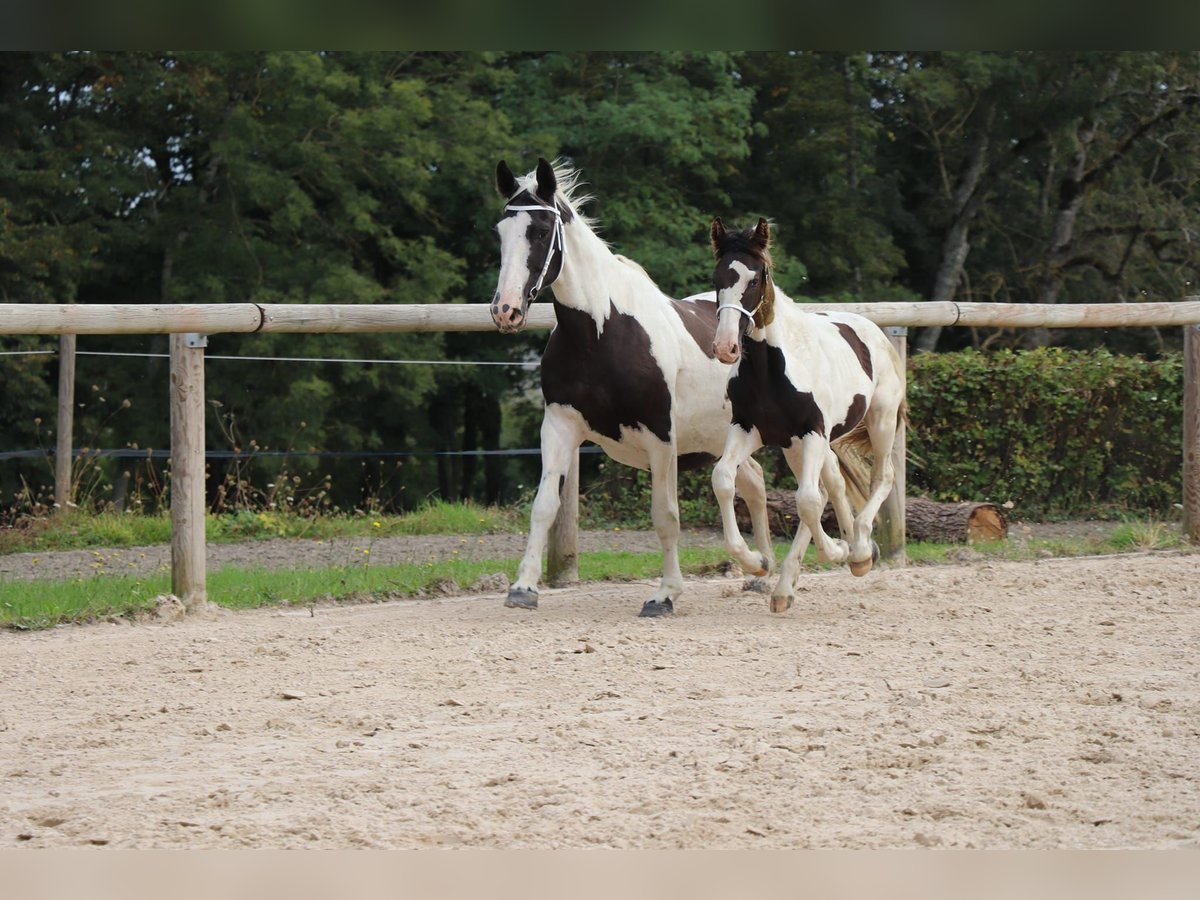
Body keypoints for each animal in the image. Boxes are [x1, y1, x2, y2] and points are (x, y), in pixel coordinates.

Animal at [492, 157, 772, 619]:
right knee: (752, 481)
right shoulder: (559, 426)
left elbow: (666, 515)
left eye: (541, 231)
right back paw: (760, 570)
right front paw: (523, 588)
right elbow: (543, 506)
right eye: (501, 230)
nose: (506, 310)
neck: (603, 332)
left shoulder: (661, 438)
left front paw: (665, 595)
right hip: (721, 438)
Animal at [705, 217, 902, 614]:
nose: (726, 347)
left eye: (755, 279)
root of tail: (876, 332)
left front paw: (838, 551)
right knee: (833, 485)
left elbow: (808, 501)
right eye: (717, 279)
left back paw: (858, 551)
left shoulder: (812, 432)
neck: (771, 369)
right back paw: (793, 583)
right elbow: (723, 479)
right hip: (797, 446)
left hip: (880, 420)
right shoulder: (748, 429)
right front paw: (757, 562)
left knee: (879, 478)